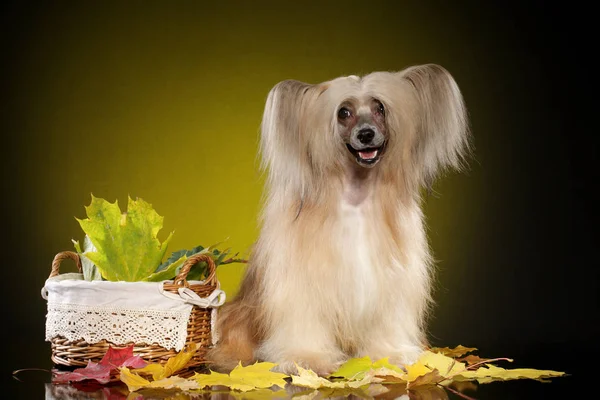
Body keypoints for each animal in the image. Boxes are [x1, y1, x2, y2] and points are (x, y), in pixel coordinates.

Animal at [209, 64, 472, 376]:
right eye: (343, 113)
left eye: (380, 108)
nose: (366, 134)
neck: (355, 197)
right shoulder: (302, 284)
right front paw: (306, 359)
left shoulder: (389, 281)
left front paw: (388, 355)